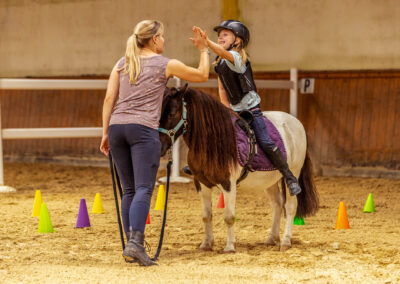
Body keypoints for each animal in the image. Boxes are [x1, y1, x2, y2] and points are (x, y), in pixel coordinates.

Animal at [159, 85, 318, 252]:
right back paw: (271, 238)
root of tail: (296, 122)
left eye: (171, 114)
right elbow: (206, 216)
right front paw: (206, 244)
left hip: (293, 172)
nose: (160, 147)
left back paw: (286, 241)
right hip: (270, 180)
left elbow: (229, 217)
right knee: (277, 204)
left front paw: (230, 247)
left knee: (290, 206)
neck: (213, 142)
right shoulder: (202, 183)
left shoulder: (228, 184)